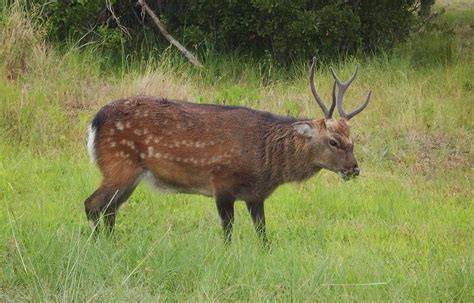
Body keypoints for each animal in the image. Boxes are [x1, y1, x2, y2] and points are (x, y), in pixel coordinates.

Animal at [87, 58, 372, 246]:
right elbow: (228, 229)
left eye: (352, 140)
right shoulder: (222, 182)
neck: (265, 163)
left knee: (110, 209)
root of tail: (94, 122)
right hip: (119, 163)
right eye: (334, 141)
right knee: (93, 204)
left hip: (131, 174)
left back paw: (110, 243)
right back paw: (98, 244)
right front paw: (227, 253)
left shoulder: (256, 195)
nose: (354, 169)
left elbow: (263, 232)